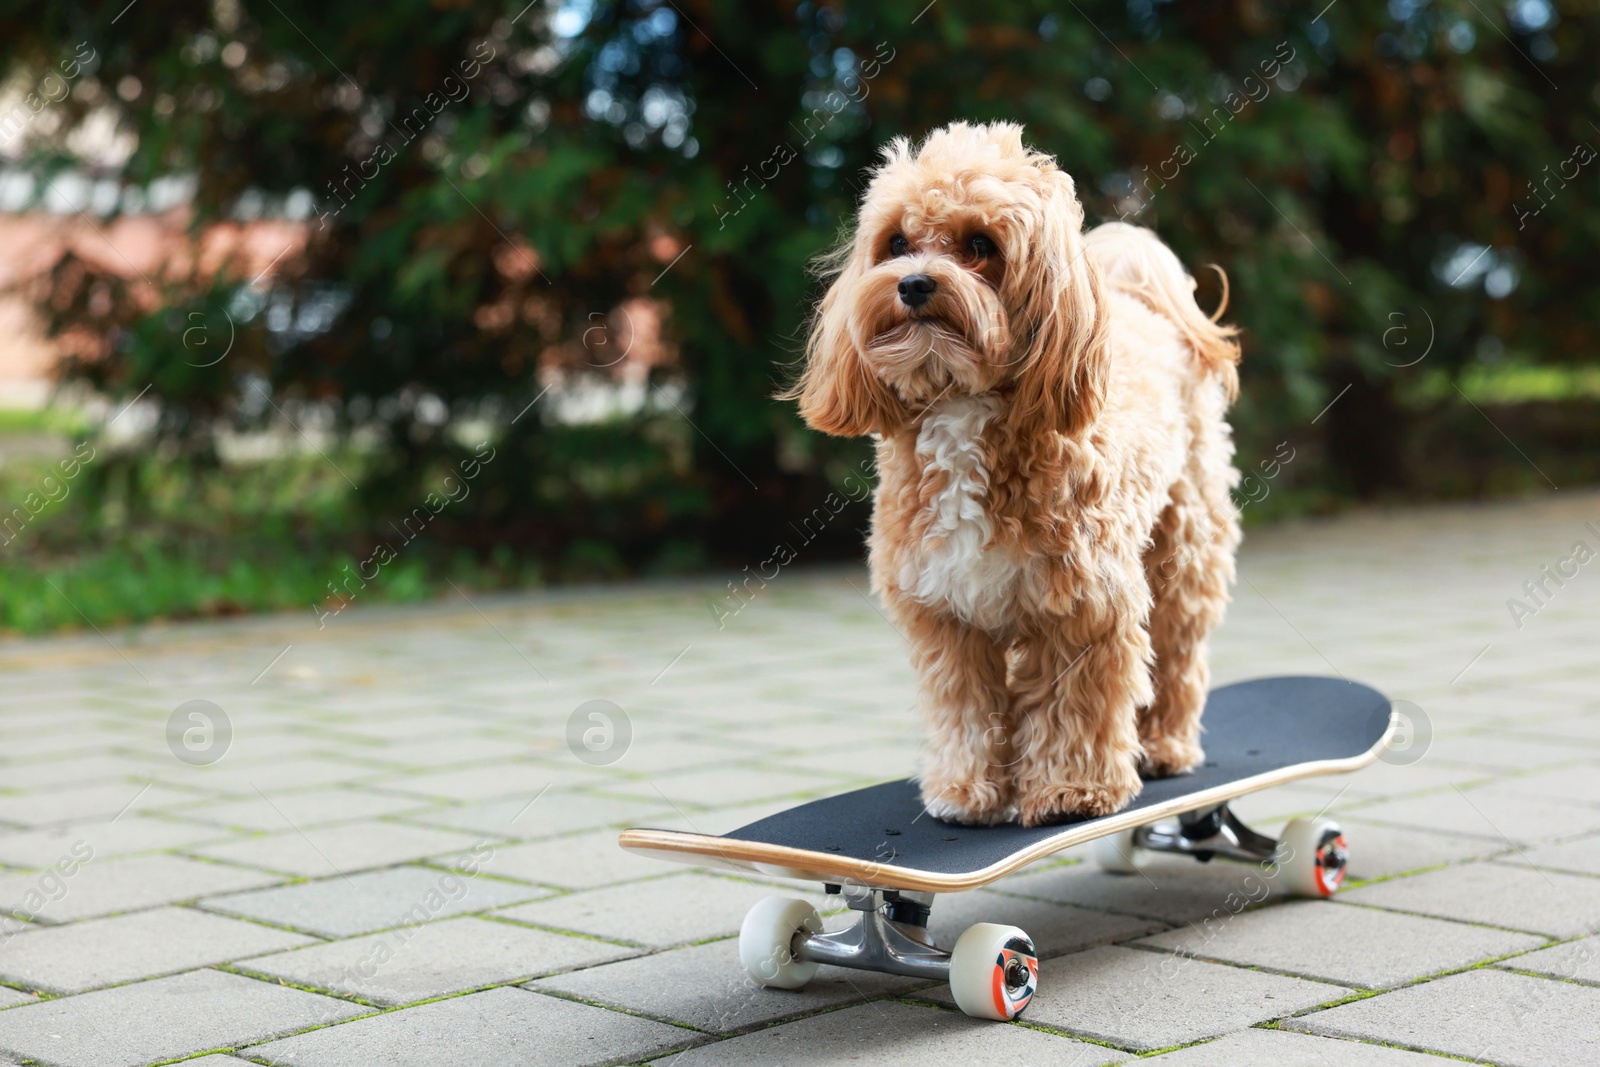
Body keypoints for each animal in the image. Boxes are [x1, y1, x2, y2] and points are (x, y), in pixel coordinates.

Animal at [787, 123, 1248, 825]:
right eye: (896, 242)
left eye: (980, 245)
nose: (914, 284)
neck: (962, 405)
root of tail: (1140, 301)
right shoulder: (945, 613)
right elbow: (965, 707)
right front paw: (965, 791)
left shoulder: (1082, 607)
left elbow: (1072, 706)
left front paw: (1071, 791)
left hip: (1184, 551)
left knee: (1178, 653)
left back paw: (1167, 746)